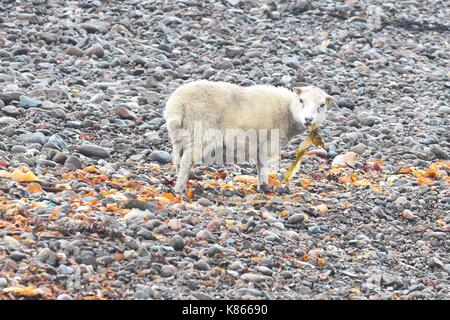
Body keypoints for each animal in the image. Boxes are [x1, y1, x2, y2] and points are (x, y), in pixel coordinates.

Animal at [163, 80, 332, 192]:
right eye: (301, 100)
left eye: (322, 105)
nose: (308, 119)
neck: (288, 111)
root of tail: (177, 104)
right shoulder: (267, 144)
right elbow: (263, 168)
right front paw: (264, 188)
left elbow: (258, 167)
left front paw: (261, 187)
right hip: (201, 133)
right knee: (186, 161)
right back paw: (180, 189)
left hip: (180, 136)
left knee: (177, 159)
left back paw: (181, 182)